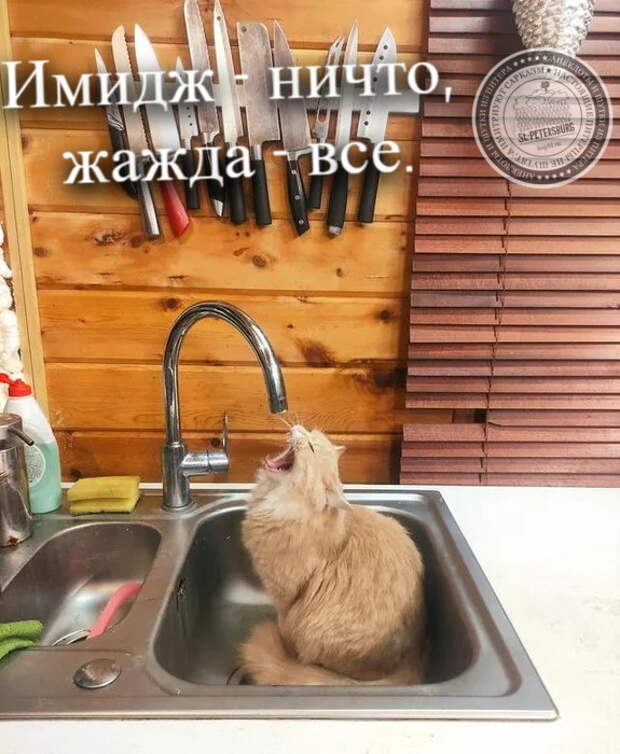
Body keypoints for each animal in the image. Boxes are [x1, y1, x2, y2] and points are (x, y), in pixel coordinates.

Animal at [240, 425, 426, 685]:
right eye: (309, 432)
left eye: (310, 446)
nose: (297, 428)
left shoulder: (285, 600)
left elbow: (283, 626)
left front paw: (285, 648)